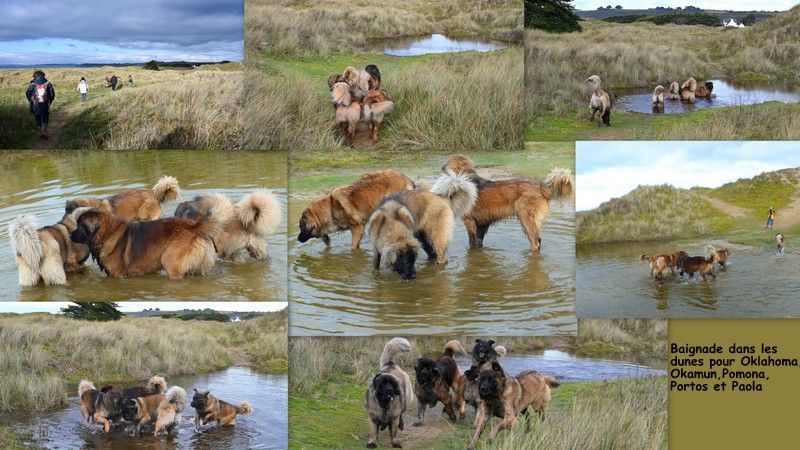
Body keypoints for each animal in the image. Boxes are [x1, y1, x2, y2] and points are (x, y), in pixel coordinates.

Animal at [69, 196, 233, 278]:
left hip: (171, 263)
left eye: (79, 226)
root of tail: (195, 226)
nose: (70, 235)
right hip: (199, 268)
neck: (108, 232)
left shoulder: (117, 275)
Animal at [440, 155, 572, 253]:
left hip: (526, 219)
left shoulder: (470, 221)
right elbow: (478, 242)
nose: (441, 170)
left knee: (535, 242)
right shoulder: (483, 223)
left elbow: (472, 243)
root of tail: (540, 187)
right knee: (538, 240)